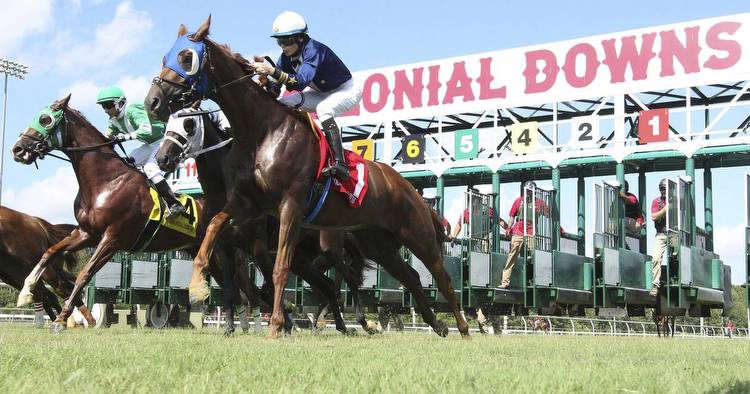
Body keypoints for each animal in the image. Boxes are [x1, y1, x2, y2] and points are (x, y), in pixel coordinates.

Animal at [9, 95, 258, 332]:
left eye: (45, 119)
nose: (18, 149)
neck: (106, 181)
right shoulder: (86, 234)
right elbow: (49, 252)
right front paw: (26, 291)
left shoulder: (112, 239)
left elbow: (84, 274)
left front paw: (61, 319)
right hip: (208, 255)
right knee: (235, 290)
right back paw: (239, 326)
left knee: (248, 290)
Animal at [161, 108, 378, 336]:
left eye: (188, 124)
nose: (162, 158)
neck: (224, 189)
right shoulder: (226, 248)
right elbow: (231, 289)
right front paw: (229, 327)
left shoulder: (258, 247)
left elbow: (270, 285)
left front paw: (282, 324)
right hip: (302, 259)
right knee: (327, 285)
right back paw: (335, 325)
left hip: (329, 249)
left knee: (349, 277)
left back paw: (361, 322)